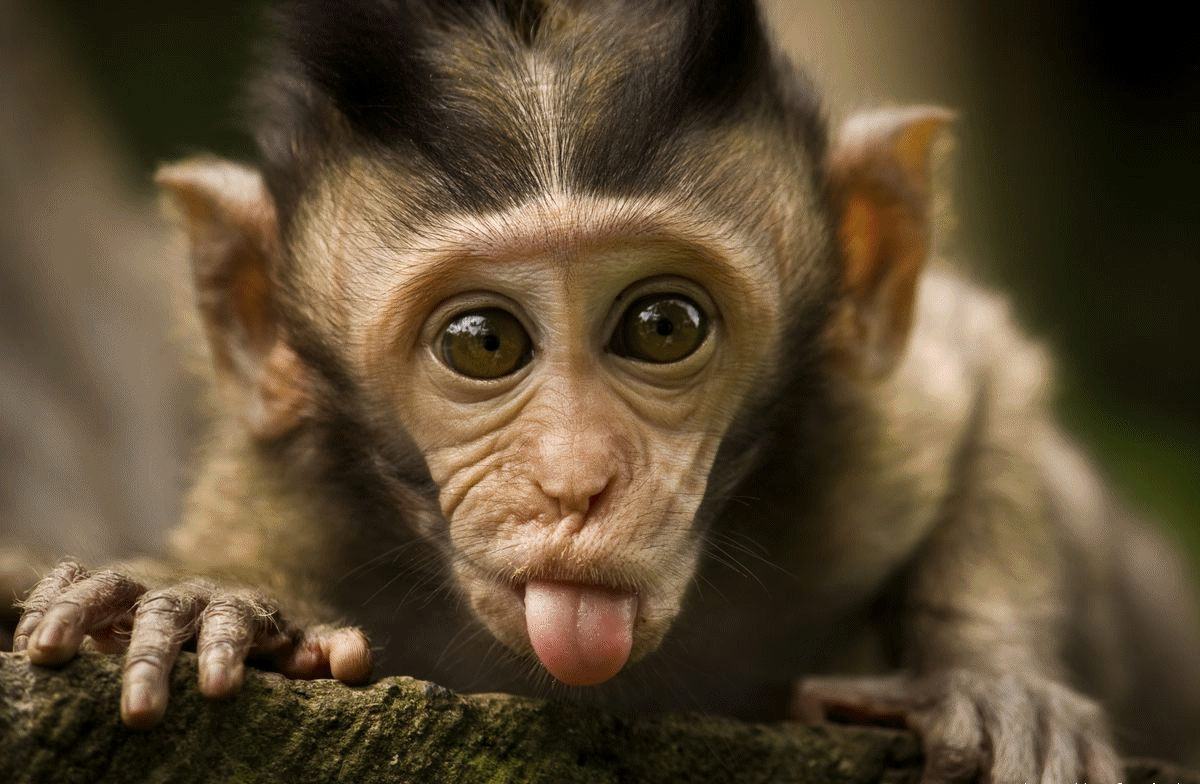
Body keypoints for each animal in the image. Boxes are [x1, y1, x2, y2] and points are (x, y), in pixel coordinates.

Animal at [10, 0, 1200, 779]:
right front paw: (207, 601)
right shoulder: (289, 493)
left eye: (662, 327)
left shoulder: (869, 445)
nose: (575, 483)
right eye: (483, 342)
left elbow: (986, 370)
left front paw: (991, 680)